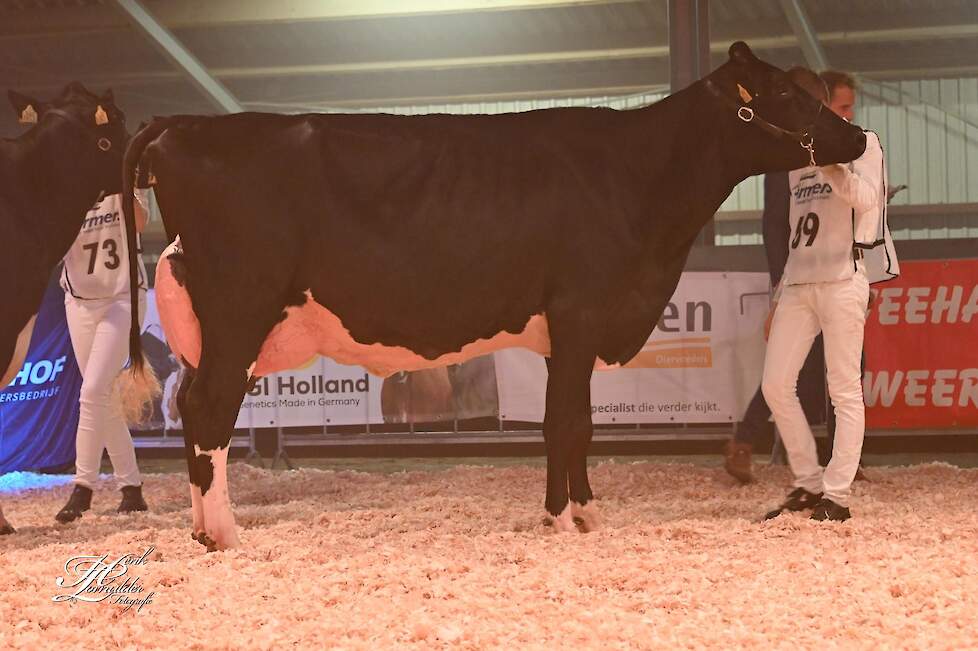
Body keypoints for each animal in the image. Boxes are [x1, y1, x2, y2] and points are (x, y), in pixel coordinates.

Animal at [120, 42, 860, 552]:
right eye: (787, 93)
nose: (856, 135)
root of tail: (179, 123)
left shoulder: (572, 331)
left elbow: (580, 422)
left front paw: (586, 513)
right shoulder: (580, 309)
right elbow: (564, 424)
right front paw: (561, 519)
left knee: (195, 410)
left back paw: (203, 529)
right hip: (239, 308)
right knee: (209, 410)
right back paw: (224, 534)